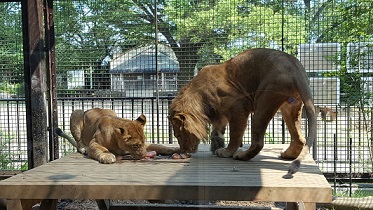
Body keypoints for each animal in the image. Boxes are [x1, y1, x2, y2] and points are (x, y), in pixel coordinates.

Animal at [169, 48, 316, 178]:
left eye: (179, 135)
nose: (184, 151)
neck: (199, 95)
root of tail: (296, 68)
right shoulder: (220, 115)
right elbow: (217, 131)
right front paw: (216, 146)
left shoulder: (238, 108)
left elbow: (234, 135)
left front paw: (226, 151)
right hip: (289, 108)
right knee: (300, 139)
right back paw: (287, 154)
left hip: (263, 101)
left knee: (258, 143)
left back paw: (241, 155)